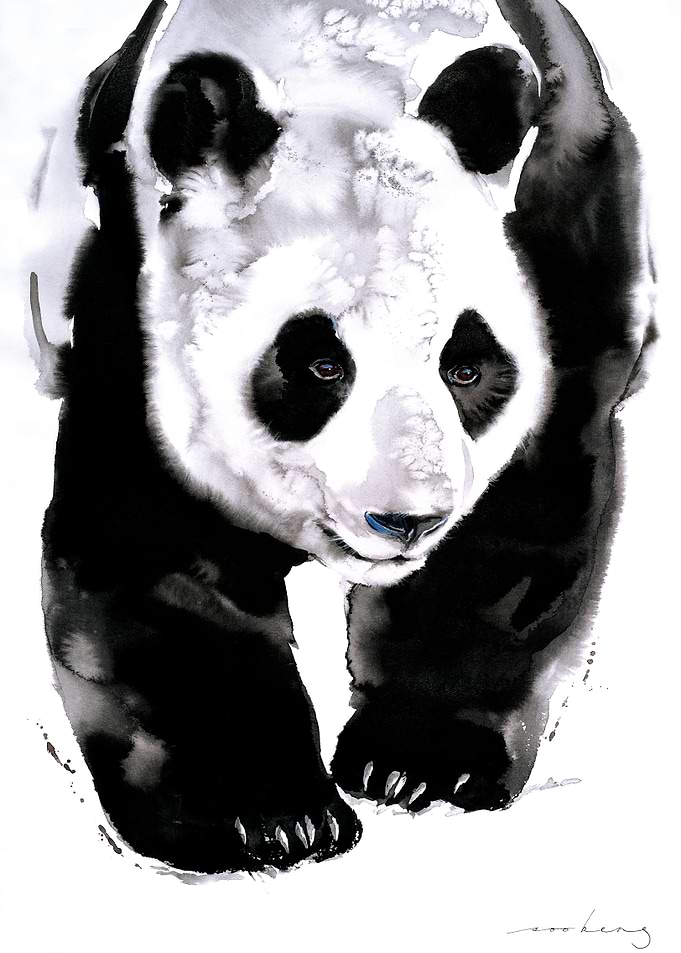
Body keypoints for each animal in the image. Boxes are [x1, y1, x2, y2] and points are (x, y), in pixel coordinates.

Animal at [33, 0, 654, 875]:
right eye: (321, 365)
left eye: (465, 368)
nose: (409, 520)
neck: (351, 56)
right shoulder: (135, 303)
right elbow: (150, 550)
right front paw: (264, 817)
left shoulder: (562, 233)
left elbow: (520, 514)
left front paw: (415, 763)